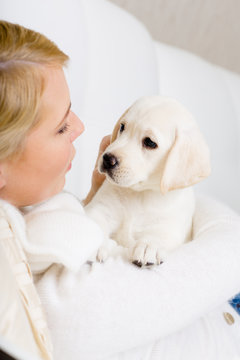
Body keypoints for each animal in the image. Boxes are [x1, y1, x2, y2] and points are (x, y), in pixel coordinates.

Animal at [85, 97, 211, 266]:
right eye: (122, 127)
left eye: (150, 142)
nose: (107, 159)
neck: (141, 194)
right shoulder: (101, 208)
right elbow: (94, 220)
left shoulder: (171, 225)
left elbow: (161, 234)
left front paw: (149, 245)